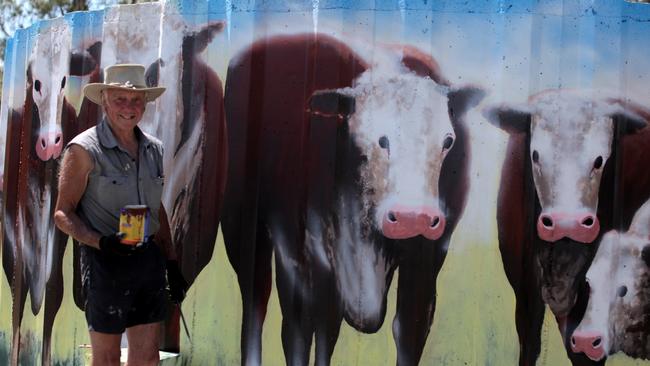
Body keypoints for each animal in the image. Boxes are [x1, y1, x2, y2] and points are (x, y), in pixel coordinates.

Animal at [1, 20, 101, 366]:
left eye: (64, 80)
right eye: (35, 82)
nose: (51, 142)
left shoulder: (59, 224)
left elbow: (54, 289)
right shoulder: (14, 223)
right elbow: (16, 285)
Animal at [221, 33, 480, 364]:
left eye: (448, 140)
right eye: (380, 139)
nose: (413, 217)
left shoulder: (428, 255)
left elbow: (409, 329)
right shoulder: (304, 249)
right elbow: (305, 327)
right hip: (242, 225)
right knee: (259, 300)